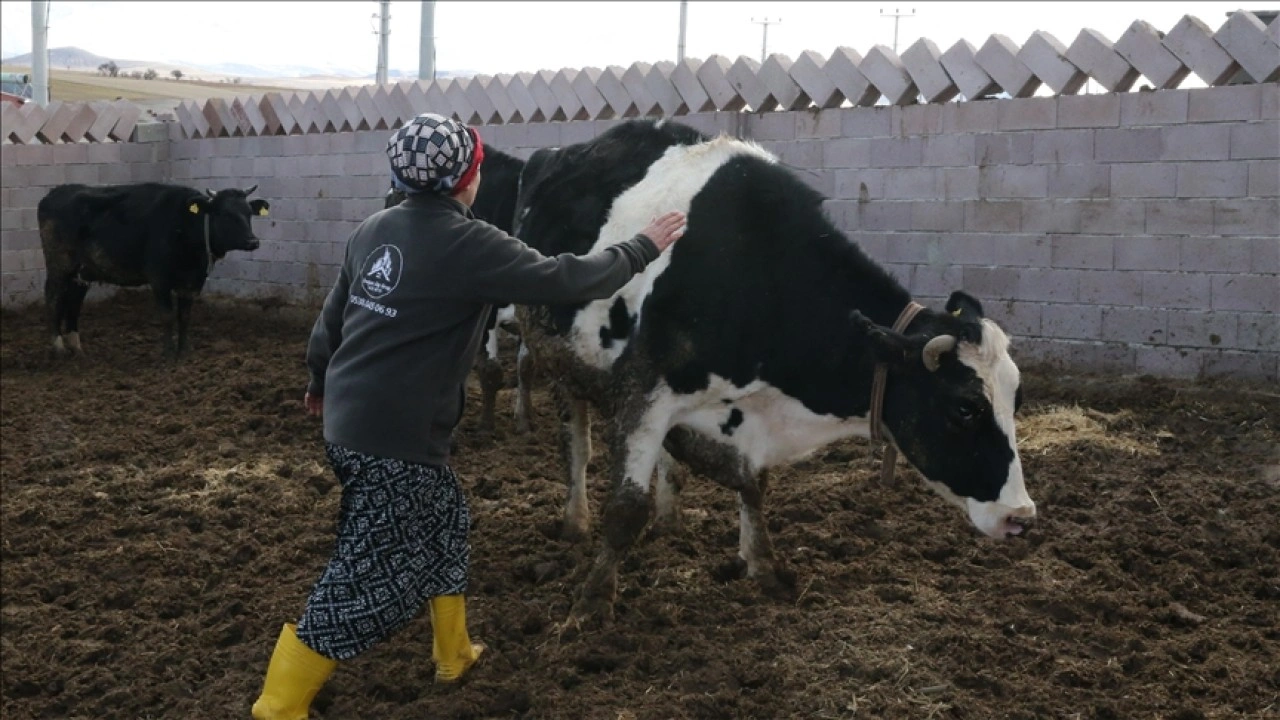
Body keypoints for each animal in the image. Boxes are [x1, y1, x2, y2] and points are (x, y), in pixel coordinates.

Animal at [39, 181, 267, 356]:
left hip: (82, 272)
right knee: (53, 299)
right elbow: (167, 316)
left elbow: (185, 316)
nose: (253, 241)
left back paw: (76, 347)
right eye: (225, 214)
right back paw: (59, 347)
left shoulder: (192, 281)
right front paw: (168, 352)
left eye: (249, 213)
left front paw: (184, 350)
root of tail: (55, 192)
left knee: (73, 303)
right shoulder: (159, 279)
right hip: (59, 265)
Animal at [504, 119, 1034, 622]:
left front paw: (764, 567)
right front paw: (591, 605)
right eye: (965, 408)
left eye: (1016, 398)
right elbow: (625, 509)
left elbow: (754, 486)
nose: (1021, 516)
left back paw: (670, 519)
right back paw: (575, 520)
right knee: (577, 446)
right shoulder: (644, 393)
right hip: (560, 358)